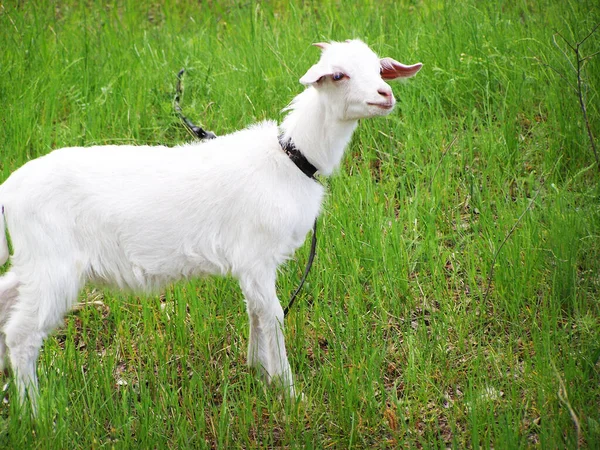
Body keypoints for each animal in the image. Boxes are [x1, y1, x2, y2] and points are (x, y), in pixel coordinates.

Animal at [0, 40, 422, 410]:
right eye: (338, 74)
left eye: (378, 68)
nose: (385, 94)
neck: (290, 157)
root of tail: (9, 190)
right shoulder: (256, 256)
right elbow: (273, 316)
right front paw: (290, 393)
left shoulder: (249, 264)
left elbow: (255, 311)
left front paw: (257, 371)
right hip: (53, 265)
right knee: (22, 334)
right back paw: (37, 413)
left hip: (33, 262)